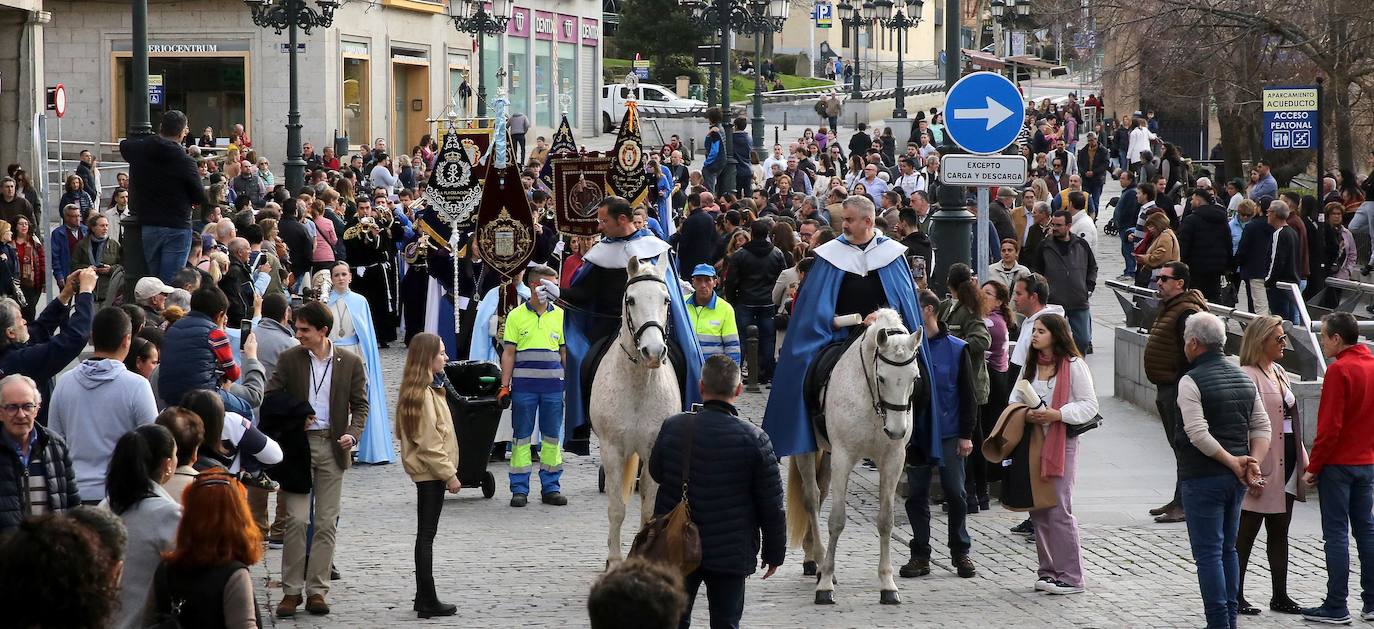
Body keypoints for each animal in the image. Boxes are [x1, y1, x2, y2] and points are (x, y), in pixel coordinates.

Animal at [590, 252, 681, 563]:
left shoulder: (654, 449)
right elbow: (617, 507)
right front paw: (614, 559)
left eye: (666, 300)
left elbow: (649, 508)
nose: (653, 352)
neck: (638, 384)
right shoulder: (612, 449)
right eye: (630, 300)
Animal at [785, 309, 923, 604]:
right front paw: (826, 584)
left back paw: (812, 555)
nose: (897, 430)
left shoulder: (893, 460)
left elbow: (886, 521)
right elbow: (836, 520)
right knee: (812, 498)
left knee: (820, 493)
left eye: (914, 378)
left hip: (827, 455)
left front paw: (888, 584)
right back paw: (819, 562)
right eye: (882, 378)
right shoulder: (843, 457)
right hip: (808, 450)